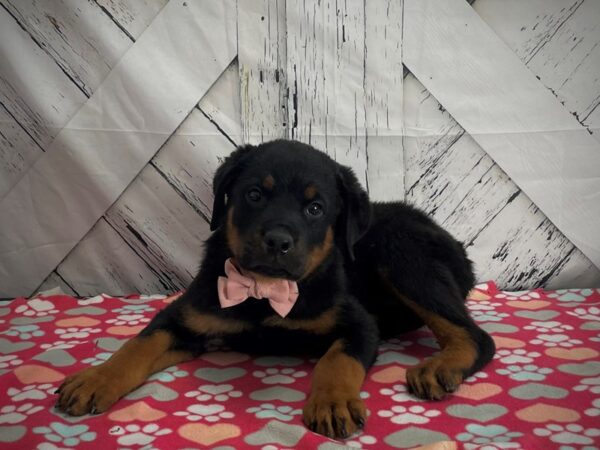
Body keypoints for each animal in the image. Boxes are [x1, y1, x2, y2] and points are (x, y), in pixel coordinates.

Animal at [56, 140, 494, 440]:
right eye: (254, 194)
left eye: (315, 209)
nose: (278, 241)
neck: (263, 291)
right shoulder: (186, 316)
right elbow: (139, 344)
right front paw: (97, 379)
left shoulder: (359, 324)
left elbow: (337, 361)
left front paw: (332, 401)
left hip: (400, 252)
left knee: (478, 336)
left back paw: (440, 366)